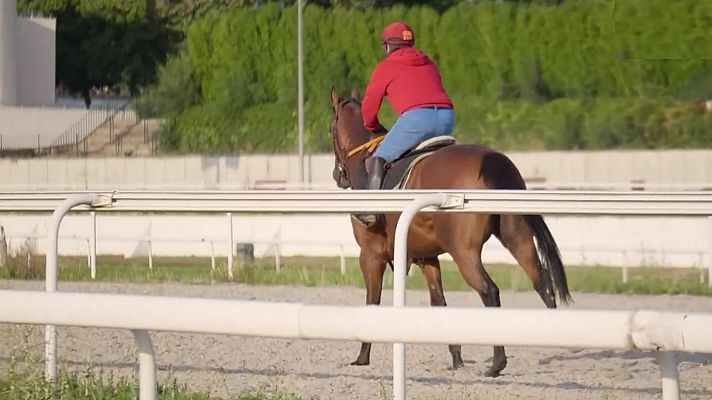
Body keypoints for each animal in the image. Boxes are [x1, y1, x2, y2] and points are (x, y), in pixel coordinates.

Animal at [330, 88, 572, 378]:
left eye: (331, 129)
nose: (337, 176)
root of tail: (493, 160)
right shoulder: (426, 257)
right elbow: (439, 303)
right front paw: (456, 358)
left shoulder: (370, 255)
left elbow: (372, 301)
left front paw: (362, 357)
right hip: (518, 239)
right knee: (542, 283)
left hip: (464, 252)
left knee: (490, 291)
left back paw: (497, 363)